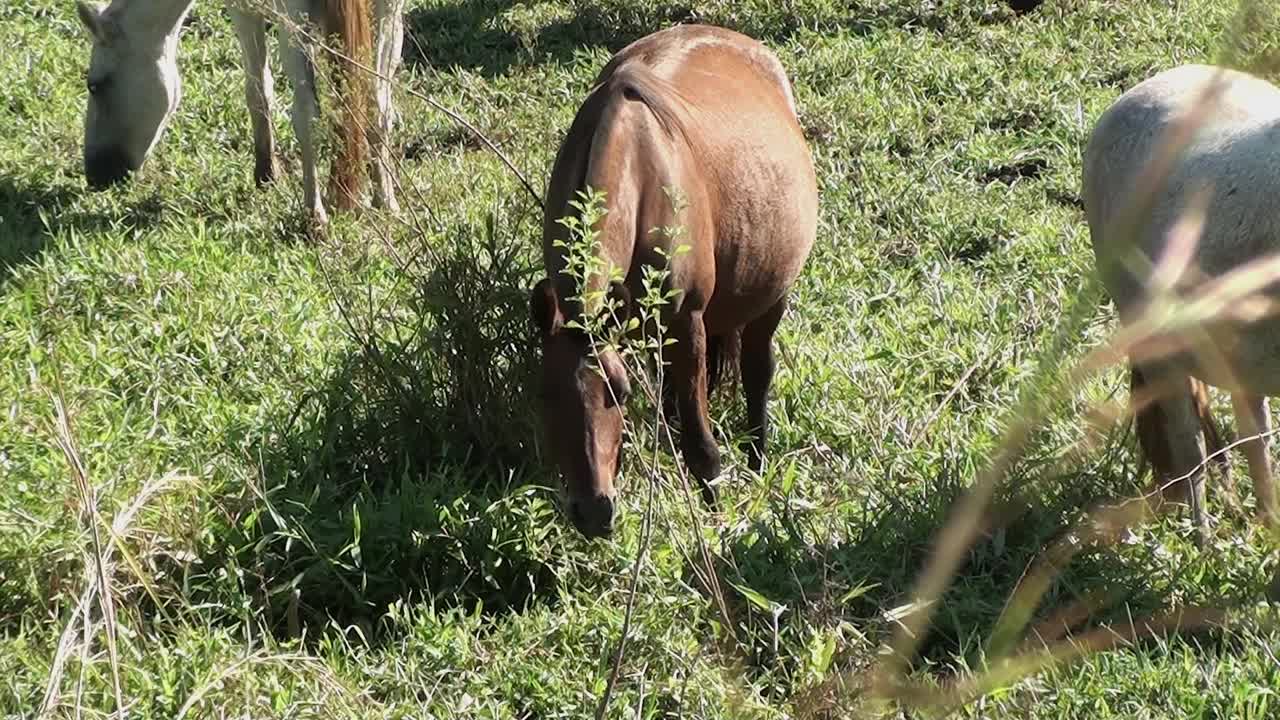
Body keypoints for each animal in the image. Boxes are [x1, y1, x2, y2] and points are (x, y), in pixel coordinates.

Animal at [74, 0, 404, 222]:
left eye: (95, 85)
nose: (96, 175)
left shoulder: (245, 8)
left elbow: (262, 89)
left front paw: (269, 174)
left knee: (307, 111)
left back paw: (315, 216)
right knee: (378, 101)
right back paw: (385, 199)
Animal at [529, 25, 819, 535]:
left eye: (619, 392)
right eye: (545, 395)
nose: (593, 512)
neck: (639, 174)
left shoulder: (688, 323)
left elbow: (702, 448)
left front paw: (717, 521)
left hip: (772, 298)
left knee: (757, 372)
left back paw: (758, 464)